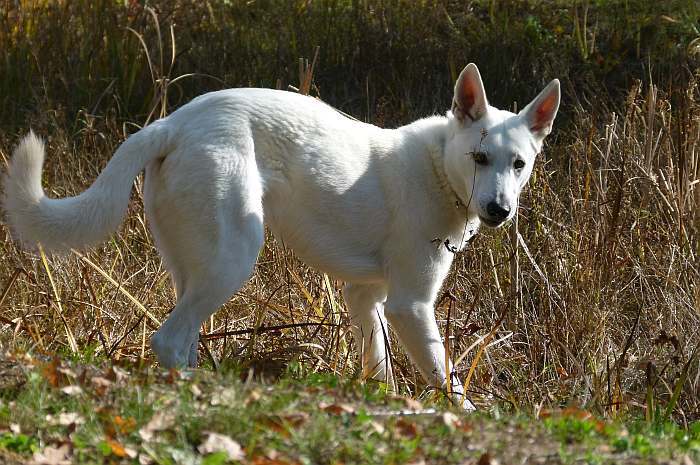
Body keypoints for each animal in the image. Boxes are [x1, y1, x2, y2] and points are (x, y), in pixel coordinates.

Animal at [1, 63, 556, 408]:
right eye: (479, 158)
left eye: (519, 164)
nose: (499, 210)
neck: (438, 167)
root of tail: (174, 123)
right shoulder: (410, 306)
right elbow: (450, 384)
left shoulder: (366, 298)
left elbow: (379, 369)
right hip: (234, 258)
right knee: (167, 339)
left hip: (197, 268)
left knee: (183, 339)